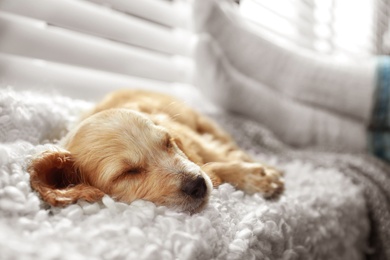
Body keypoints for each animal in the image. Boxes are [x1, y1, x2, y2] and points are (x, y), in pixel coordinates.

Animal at [28, 89, 284, 213]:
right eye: (128, 173)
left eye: (168, 143)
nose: (198, 185)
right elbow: (210, 166)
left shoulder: (189, 136)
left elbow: (213, 157)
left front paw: (258, 176)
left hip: (205, 124)